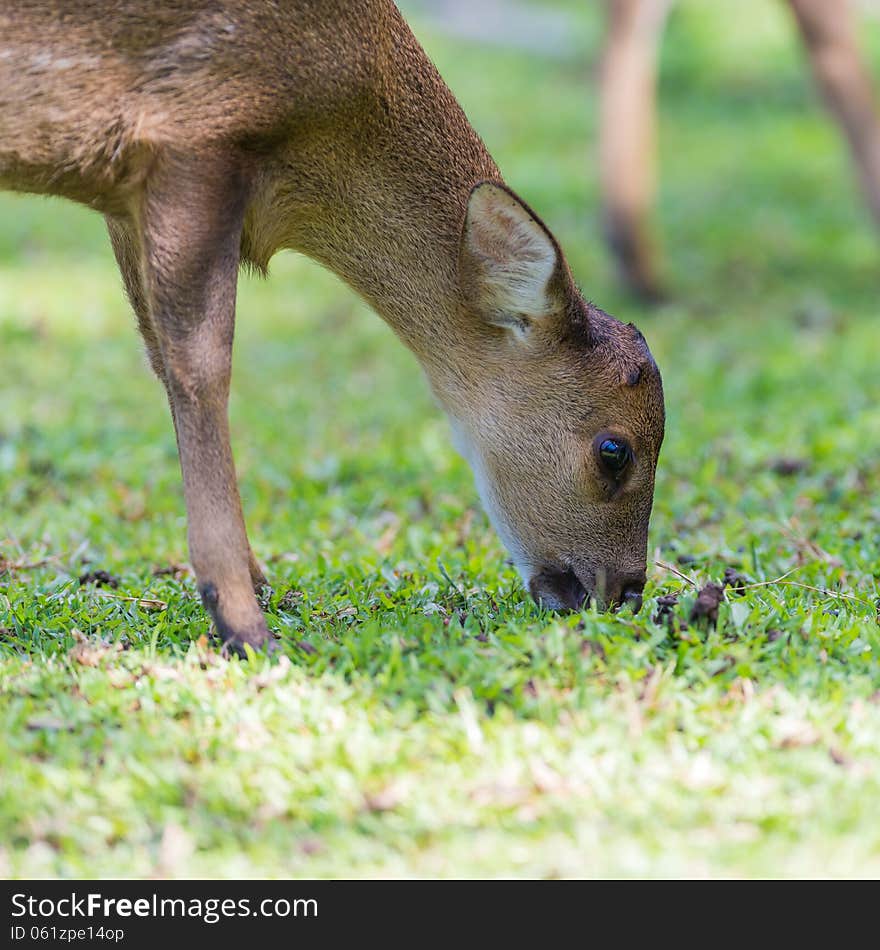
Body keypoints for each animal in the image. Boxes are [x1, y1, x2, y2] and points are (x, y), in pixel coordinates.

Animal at [0, 0, 660, 660]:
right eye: (614, 451)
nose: (627, 591)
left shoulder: (122, 195)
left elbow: (160, 358)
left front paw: (257, 583)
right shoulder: (191, 135)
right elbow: (202, 366)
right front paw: (244, 624)